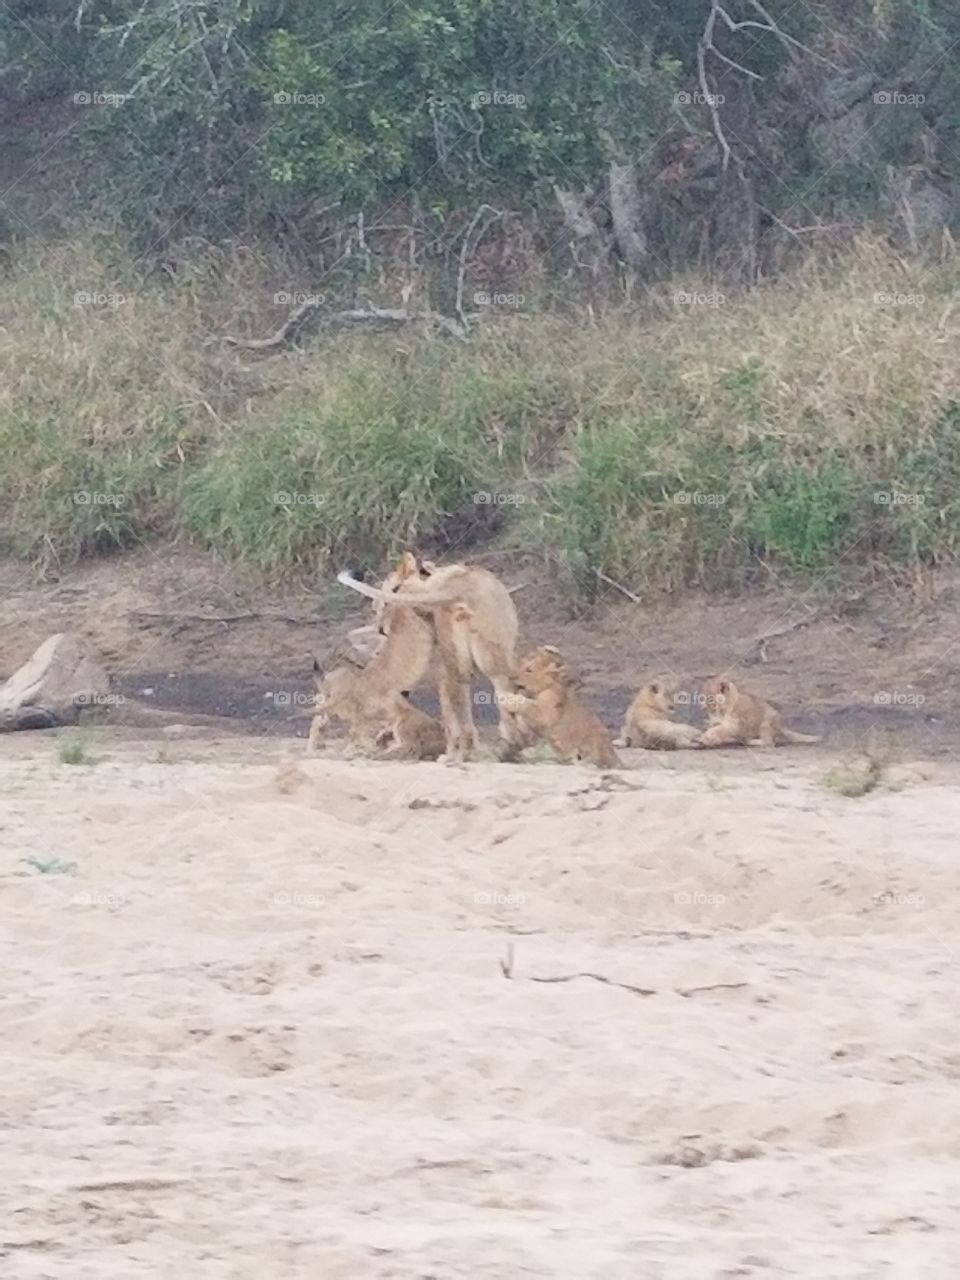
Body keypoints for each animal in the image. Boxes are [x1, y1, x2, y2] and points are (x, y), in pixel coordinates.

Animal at [337, 553, 525, 762]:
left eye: (382, 604)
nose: (380, 627)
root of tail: (460, 588)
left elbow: (447, 711)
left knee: (467, 699)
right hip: (487, 652)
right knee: (498, 689)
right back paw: (506, 748)